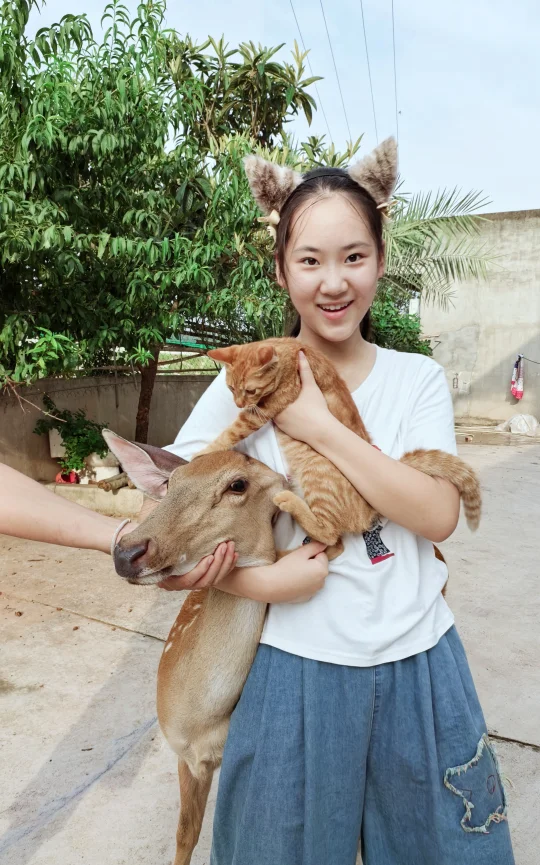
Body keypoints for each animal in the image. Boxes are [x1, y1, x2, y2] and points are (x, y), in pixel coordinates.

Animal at [103, 430, 449, 865]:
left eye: (237, 485)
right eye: (171, 484)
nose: (127, 552)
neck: (202, 720)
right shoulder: (184, 754)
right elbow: (185, 836)